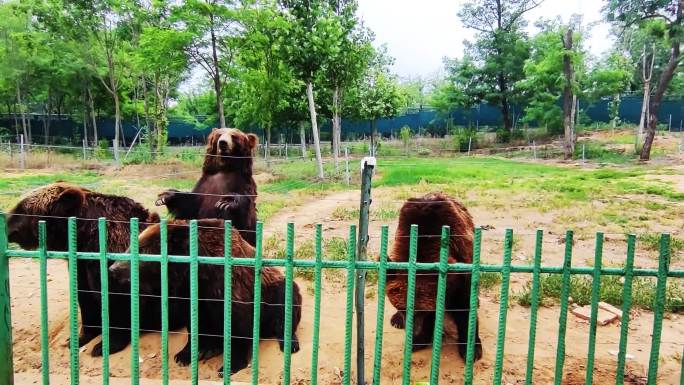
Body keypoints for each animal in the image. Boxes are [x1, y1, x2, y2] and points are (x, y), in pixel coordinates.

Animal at [7, 182, 159, 356]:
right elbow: (86, 298)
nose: (5, 223)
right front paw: (79, 338)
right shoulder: (80, 265)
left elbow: (120, 300)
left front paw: (105, 346)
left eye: (21, 208)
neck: (84, 237)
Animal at [109, 219, 302, 376]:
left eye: (141, 248)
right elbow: (195, 324)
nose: (113, 269)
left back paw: (289, 343)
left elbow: (238, 326)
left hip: (277, 289)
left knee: (285, 309)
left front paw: (230, 366)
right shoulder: (190, 294)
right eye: (129, 246)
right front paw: (185, 355)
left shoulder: (231, 289)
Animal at [384, 192, 480, 360]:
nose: (412, 334)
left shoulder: (462, 264)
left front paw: (471, 348)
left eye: (421, 312)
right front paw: (418, 339)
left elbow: (465, 305)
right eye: (402, 309)